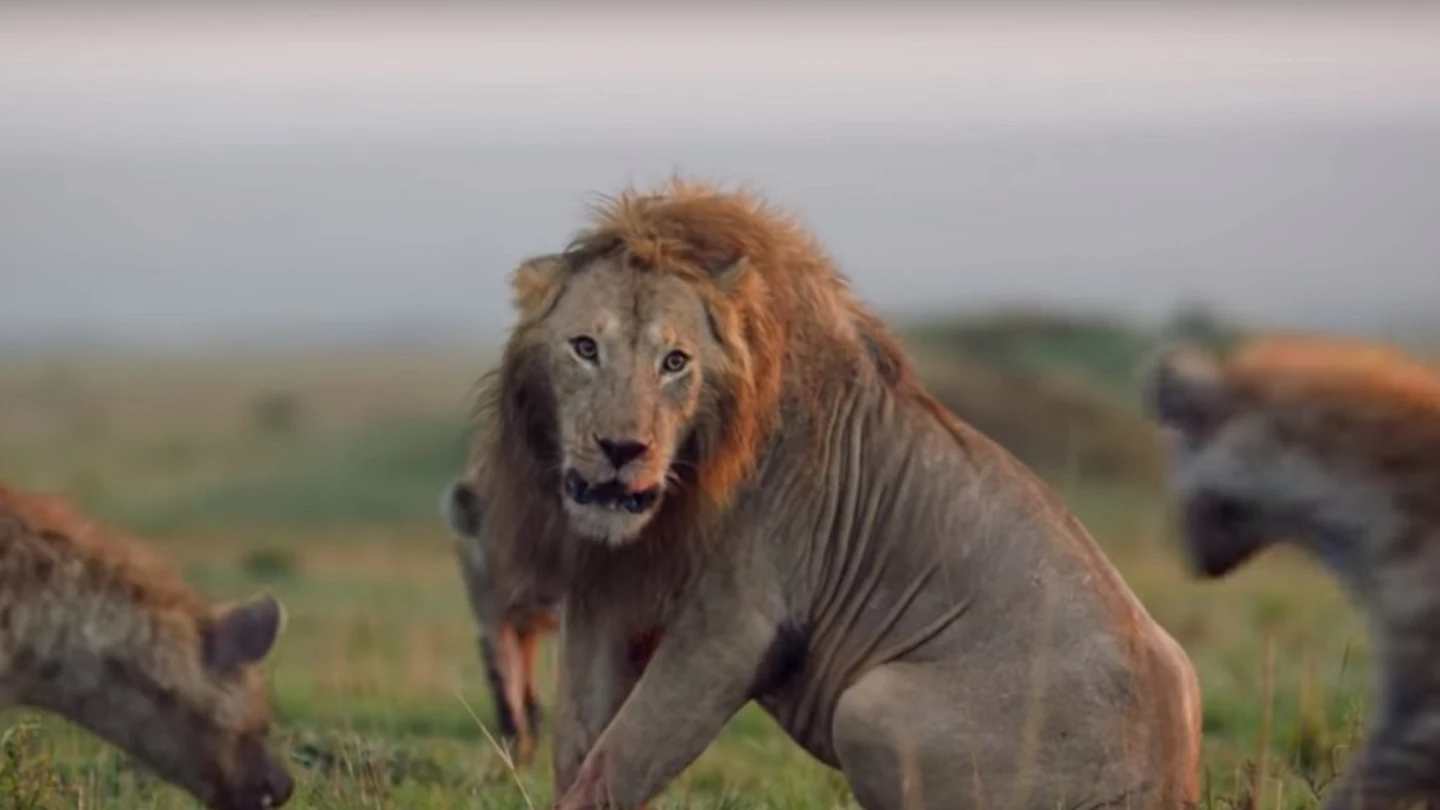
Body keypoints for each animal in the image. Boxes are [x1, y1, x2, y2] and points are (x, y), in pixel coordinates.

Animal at [465, 179, 1202, 810]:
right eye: (585, 348)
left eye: (675, 362)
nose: (623, 450)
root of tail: (1175, 783)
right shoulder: (604, 591)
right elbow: (579, 742)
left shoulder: (739, 616)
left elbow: (622, 757)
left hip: (869, 707)